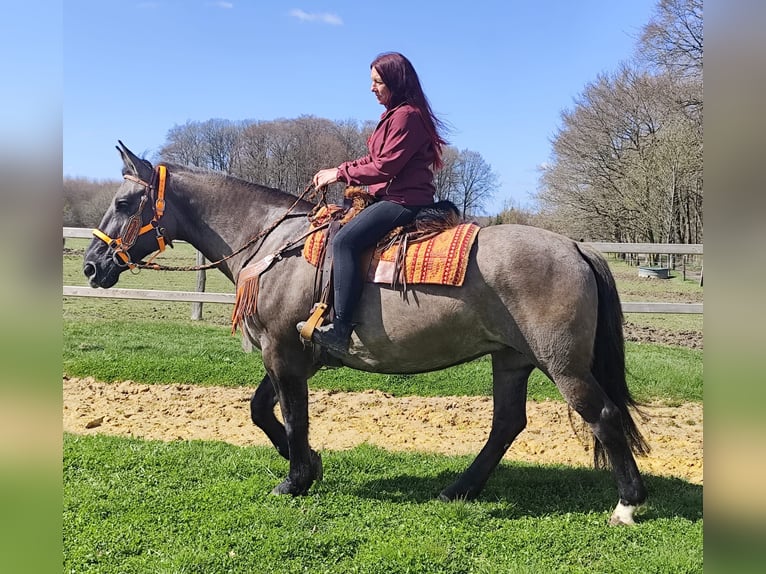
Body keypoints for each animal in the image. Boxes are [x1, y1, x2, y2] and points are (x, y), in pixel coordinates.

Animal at [83, 142, 649, 525]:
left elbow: (292, 415)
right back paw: (460, 488)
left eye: (126, 202)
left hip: (562, 365)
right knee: (507, 423)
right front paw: (308, 464)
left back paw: (627, 504)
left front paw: (296, 478)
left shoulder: (284, 353)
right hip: (512, 359)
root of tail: (575, 247)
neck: (278, 245)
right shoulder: (289, 354)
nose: (91, 265)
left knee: (602, 416)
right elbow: (264, 411)